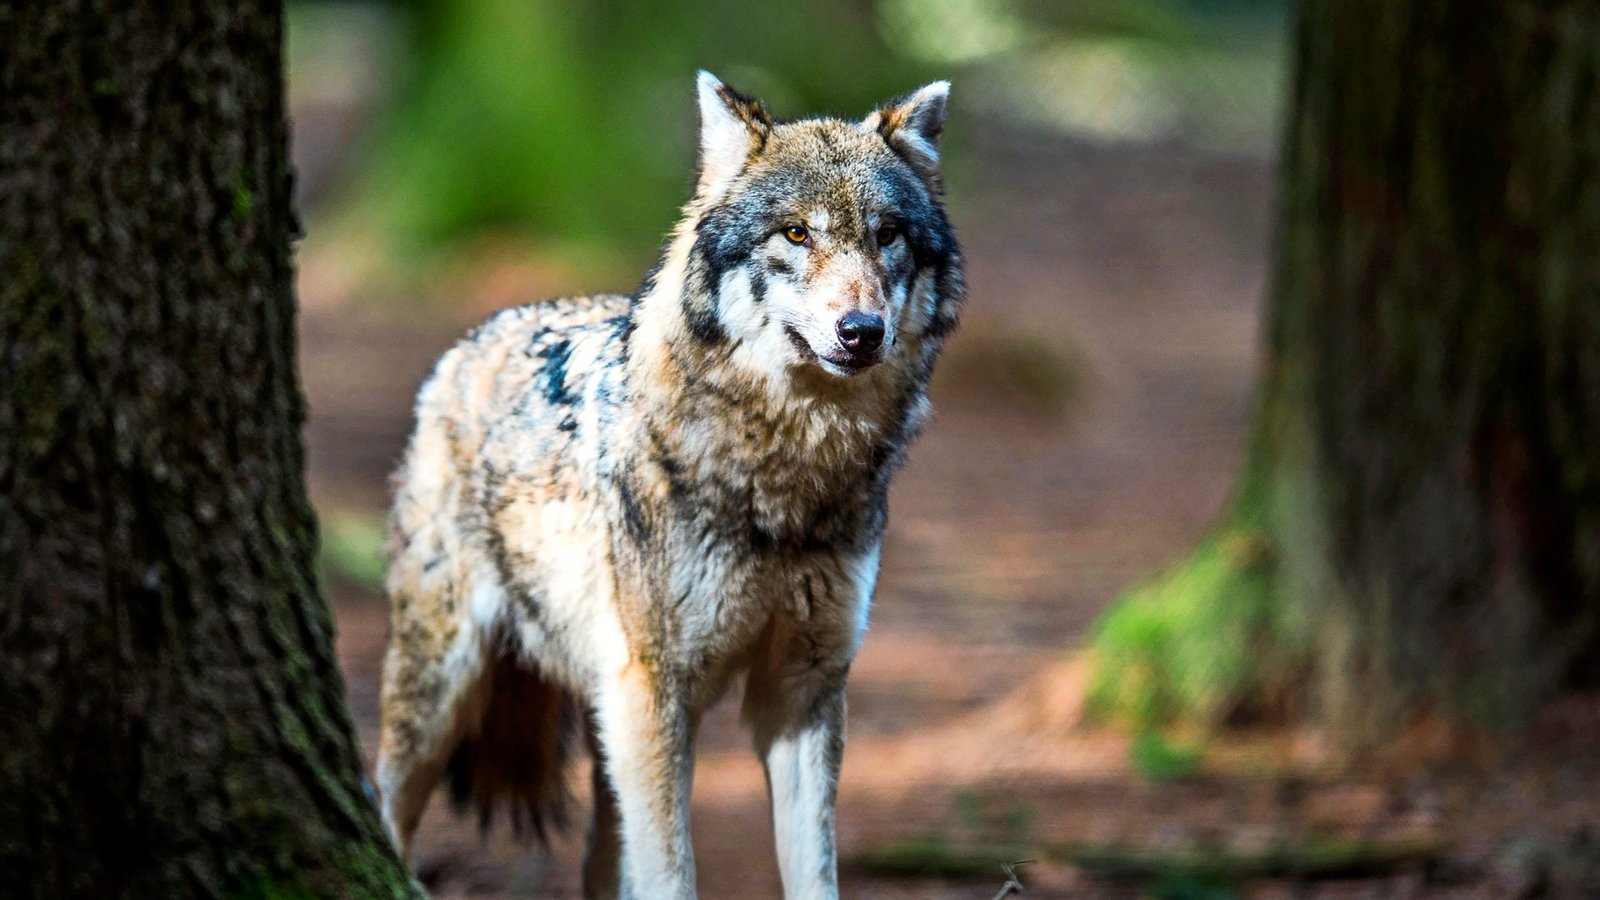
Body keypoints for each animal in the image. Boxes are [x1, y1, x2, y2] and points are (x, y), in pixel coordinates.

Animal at [375, 71, 964, 899]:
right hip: (446, 690)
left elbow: (814, 873)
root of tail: (468, 343)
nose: (861, 331)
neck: (785, 480)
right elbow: (671, 872)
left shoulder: (804, 689)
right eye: (796, 235)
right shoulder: (658, 692)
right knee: (384, 805)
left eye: (887, 236)